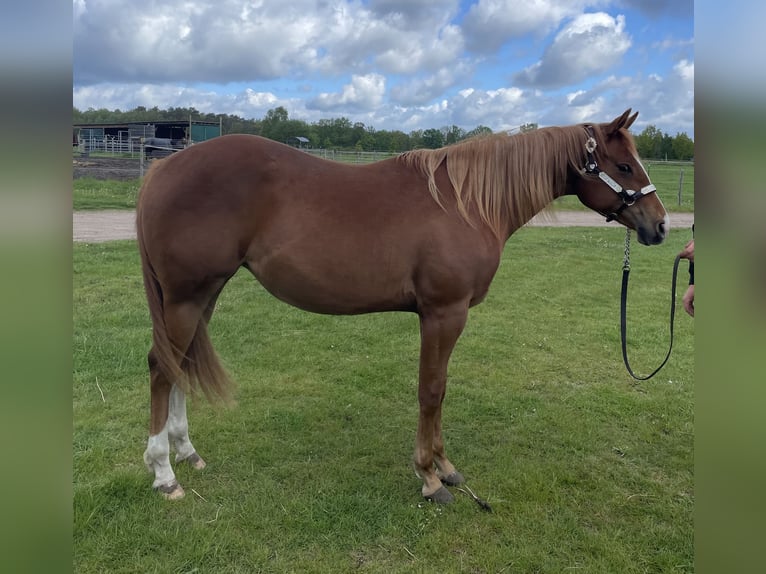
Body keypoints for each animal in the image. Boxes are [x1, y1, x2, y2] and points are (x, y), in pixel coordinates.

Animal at [136, 109, 669, 503]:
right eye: (624, 167)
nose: (660, 225)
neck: (466, 204)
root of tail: (164, 168)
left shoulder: (446, 316)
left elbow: (441, 389)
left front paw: (446, 467)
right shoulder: (443, 313)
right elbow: (431, 390)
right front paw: (430, 476)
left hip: (204, 295)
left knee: (181, 365)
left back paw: (187, 452)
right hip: (186, 296)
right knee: (162, 367)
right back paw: (164, 473)